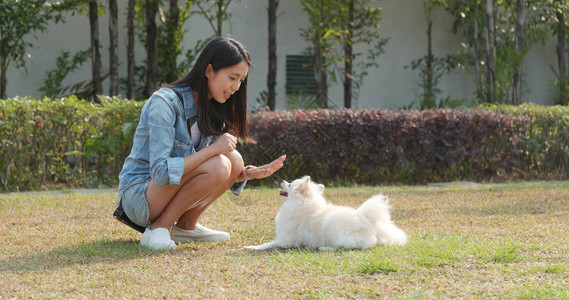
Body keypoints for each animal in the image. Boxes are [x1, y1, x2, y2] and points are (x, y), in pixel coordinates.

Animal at [244, 176, 408, 251]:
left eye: (289, 184)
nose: (283, 180)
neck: (302, 205)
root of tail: (371, 223)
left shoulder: (285, 240)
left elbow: (266, 244)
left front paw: (251, 247)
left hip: (335, 230)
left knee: (343, 247)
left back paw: (323, 248)